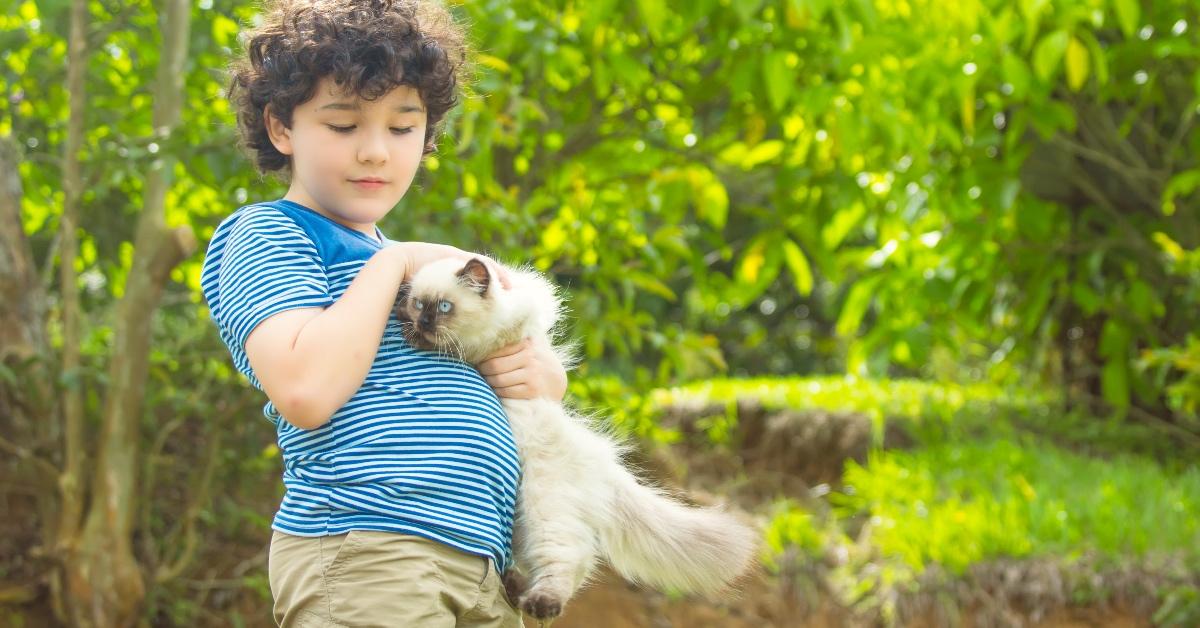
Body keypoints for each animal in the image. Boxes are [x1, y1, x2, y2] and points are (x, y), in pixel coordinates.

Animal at [398, 258, 758, 619]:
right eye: (419, 303)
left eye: (444, 307)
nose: (423, 321)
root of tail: (604, 464)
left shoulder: (493, 339)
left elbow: (458, 346)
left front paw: (413, 334)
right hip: (522, 523)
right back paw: (517, 587)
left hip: (544, 509)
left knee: (572, 559)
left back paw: (541, 603)